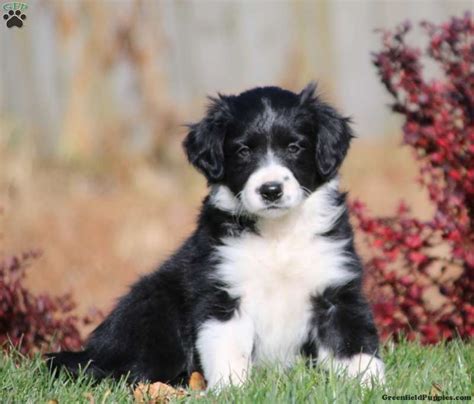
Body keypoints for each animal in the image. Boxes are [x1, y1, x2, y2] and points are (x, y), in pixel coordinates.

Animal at [46, 83, 384, 390]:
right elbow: (228, 350)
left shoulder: (337, 290)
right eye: (243, 150)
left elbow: (354, 345)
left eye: (295, 147)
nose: (271, 190)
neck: (277, 235)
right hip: (154, 304)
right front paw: (233, 390)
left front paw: (370, 386)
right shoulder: (221, 293)